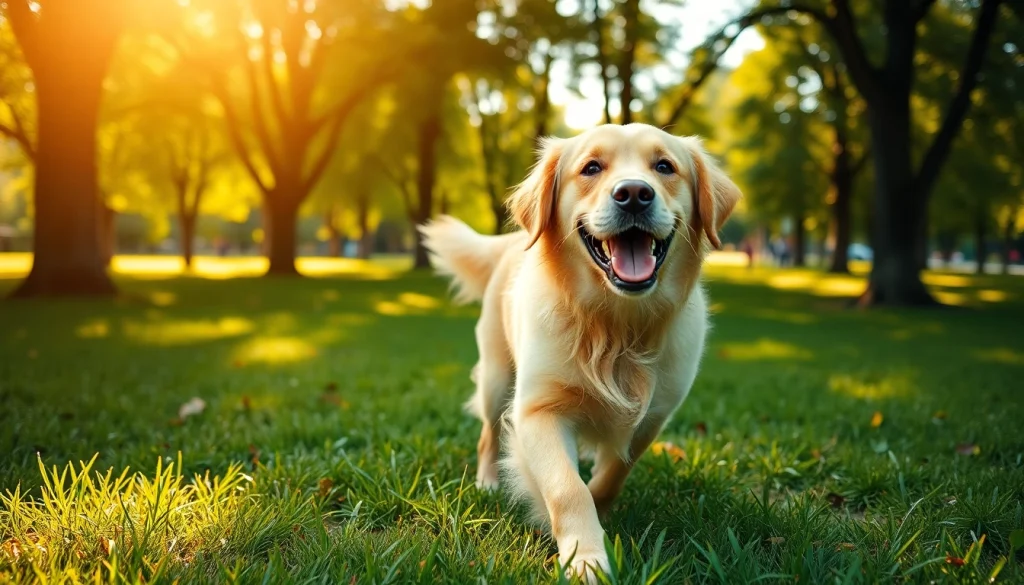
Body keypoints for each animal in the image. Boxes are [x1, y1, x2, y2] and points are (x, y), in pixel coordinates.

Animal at [419, 123, 741, 581]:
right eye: (591, 168)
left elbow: (612, 474)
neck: (616, 327)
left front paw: (599, 508)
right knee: (488, 433)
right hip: (497, 377)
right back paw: (488, 480)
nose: (633, 194)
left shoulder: (652, 418)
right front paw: (586, 559)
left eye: (664, 166)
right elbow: (566, 488)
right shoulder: (538, 411)